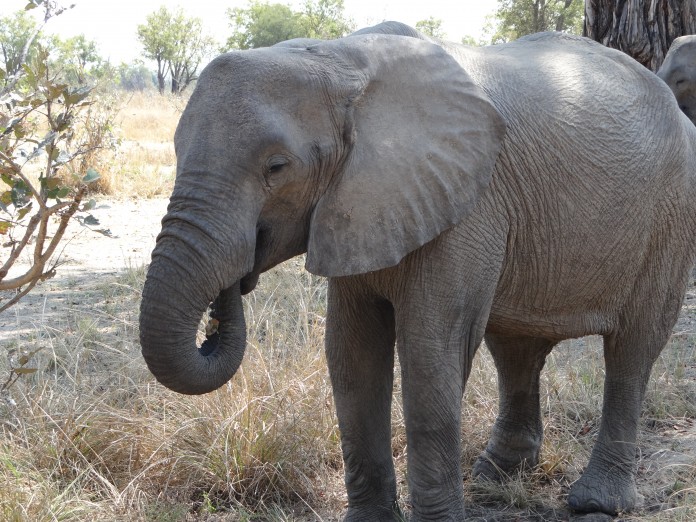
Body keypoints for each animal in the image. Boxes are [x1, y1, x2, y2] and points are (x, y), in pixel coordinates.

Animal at [139, 21, 696, 520]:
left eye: (276, 167)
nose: (228, 293)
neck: (339, 61)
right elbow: (351, 355)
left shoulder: (465, 202)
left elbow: (430, 350)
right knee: (515, 346)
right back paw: (495, 475)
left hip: (671, 217)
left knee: (632, 349)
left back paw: (596, 504)